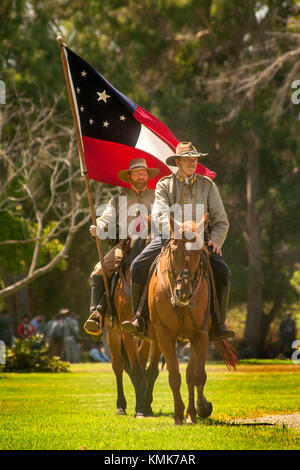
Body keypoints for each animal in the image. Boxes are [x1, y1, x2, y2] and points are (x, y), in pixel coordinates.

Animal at [105, 241, 162, 416]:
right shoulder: (126, 333)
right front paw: (140, 409)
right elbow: (136, 371)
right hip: (112, 332)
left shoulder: (158, 335)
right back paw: (120, 406)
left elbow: (151, 371)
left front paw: (147, 406)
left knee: (141, 363)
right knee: (117, 366)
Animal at [148, 217, 237, 426]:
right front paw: (178, 415)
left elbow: (197, 376)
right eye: (174, 250)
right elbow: (174, 376)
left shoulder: (200, 334)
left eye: (198, 252)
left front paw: (197, 410)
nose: (184, 293)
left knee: (193, 374)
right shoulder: (164, 334)